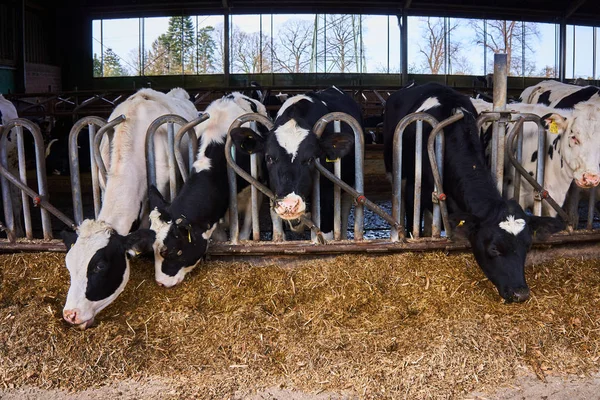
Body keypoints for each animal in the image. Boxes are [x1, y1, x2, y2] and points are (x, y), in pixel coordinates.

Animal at [230, 85, 360, 239]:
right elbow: (279, 233)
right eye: (269, 157)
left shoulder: (327, 200)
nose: (289, 205)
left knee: (345, 212)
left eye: (310, 159)